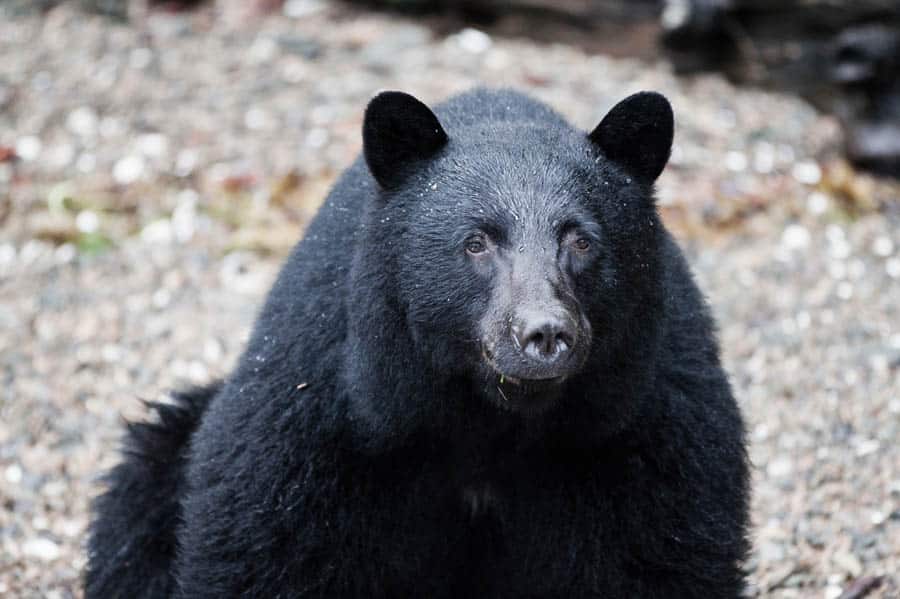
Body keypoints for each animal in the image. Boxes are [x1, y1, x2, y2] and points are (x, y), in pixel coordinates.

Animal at [88, 89, 752, 599]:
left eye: (581, 240)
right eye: (476, 242)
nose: (545, 334)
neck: (490, 419)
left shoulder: (637, 435)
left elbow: (657, 556)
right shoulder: (324, 422)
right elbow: (264, 547)